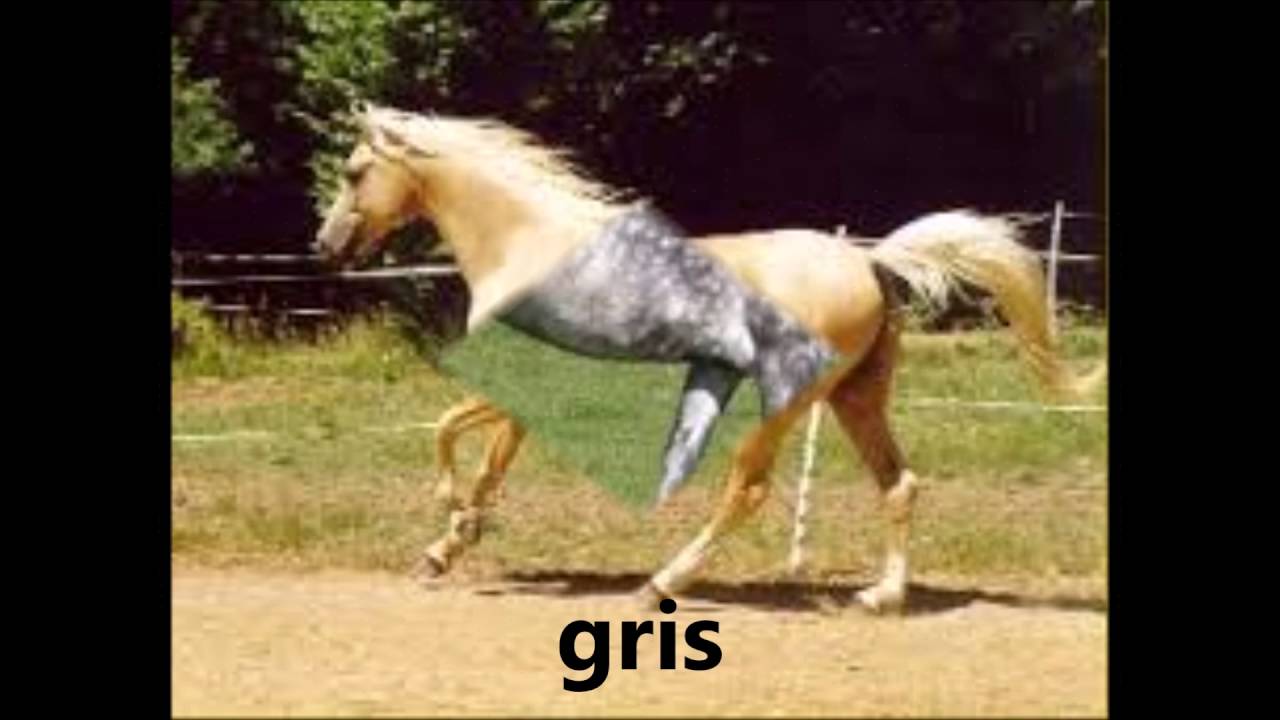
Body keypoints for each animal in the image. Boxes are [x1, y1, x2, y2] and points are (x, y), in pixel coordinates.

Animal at [315, 103, 1103, 613]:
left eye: (353, 172)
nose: (326, 246)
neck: (529, 246)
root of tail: (869, 260)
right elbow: (488, 464)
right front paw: (448, 546)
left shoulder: (522, 382)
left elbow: (449, 432)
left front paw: (449, 520)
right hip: (855, 398)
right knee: (899, 485)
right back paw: (880, 596)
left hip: (783, 404)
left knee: (746, 492)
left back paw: (660, 585)